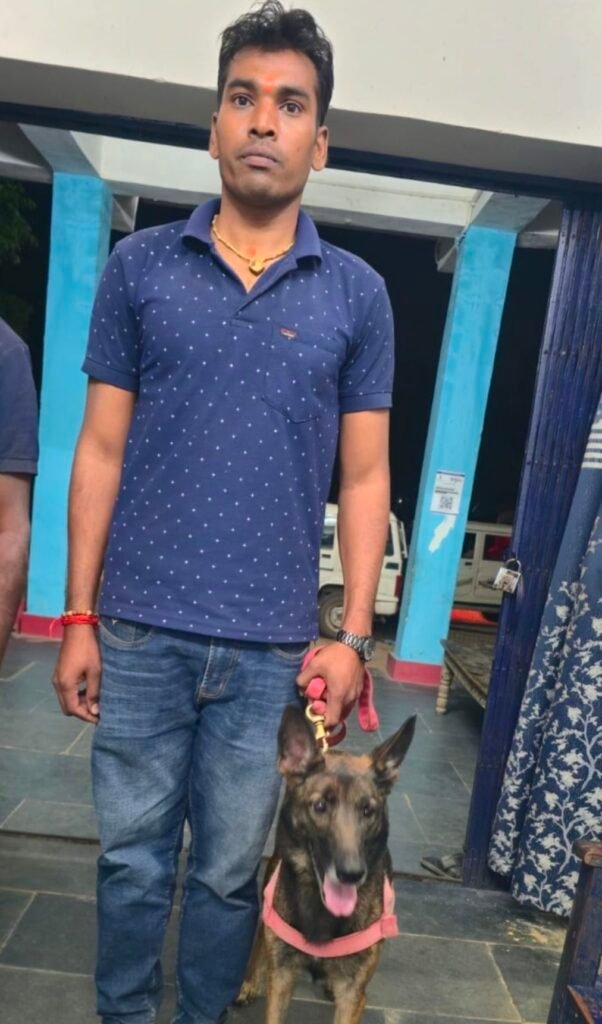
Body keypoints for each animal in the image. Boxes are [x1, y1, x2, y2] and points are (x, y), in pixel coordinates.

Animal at [237, 703, 416, 1024]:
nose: (352, 873)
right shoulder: (281, 979)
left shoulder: (353, 995)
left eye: (368, 811)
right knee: (259, 937)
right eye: (320, 806)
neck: (321, 912)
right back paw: (249, 982)